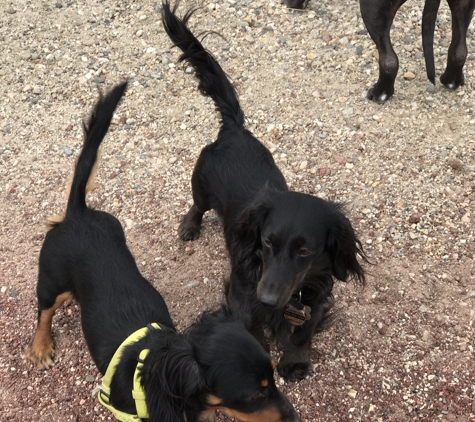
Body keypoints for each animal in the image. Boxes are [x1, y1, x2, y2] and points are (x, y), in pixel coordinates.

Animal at [26, 83, 300, 422]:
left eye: (273, 375)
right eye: (254, 394)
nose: (295, 417)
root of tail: (78, 213)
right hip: (52, 281)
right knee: (44, 311)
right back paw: (41, 347)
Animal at [162, 0, 370, 382]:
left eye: (305, 251)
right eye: (267, 242)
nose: (269, 299)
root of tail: (234, 129)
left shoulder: (315, 298)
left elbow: (302, 332)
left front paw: (296, 360)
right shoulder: (242, 293)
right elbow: (250, 326)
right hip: (201, 183)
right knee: (197, 205)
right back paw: (189, 226)